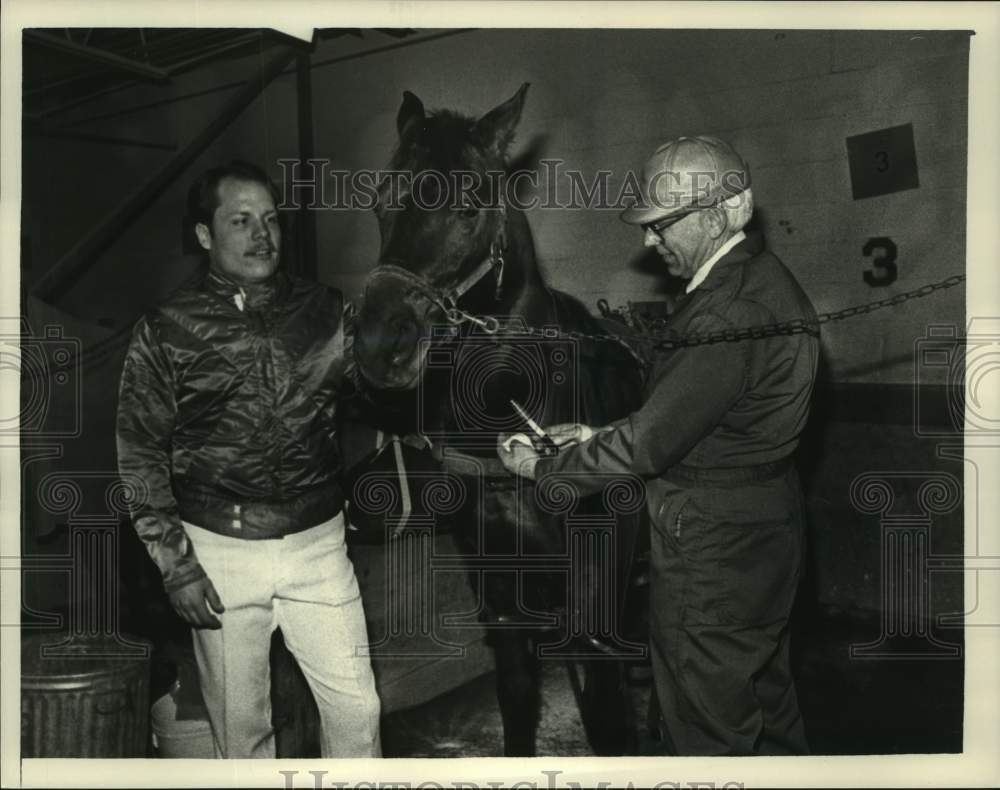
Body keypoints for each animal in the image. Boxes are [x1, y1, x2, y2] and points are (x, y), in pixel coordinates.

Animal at [352, 83, 648, 756]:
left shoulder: (595, 612)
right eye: (381, 202)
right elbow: (516, 704)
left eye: (467, 209)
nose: (379, 346)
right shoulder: (506, 606)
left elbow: (608, 721)